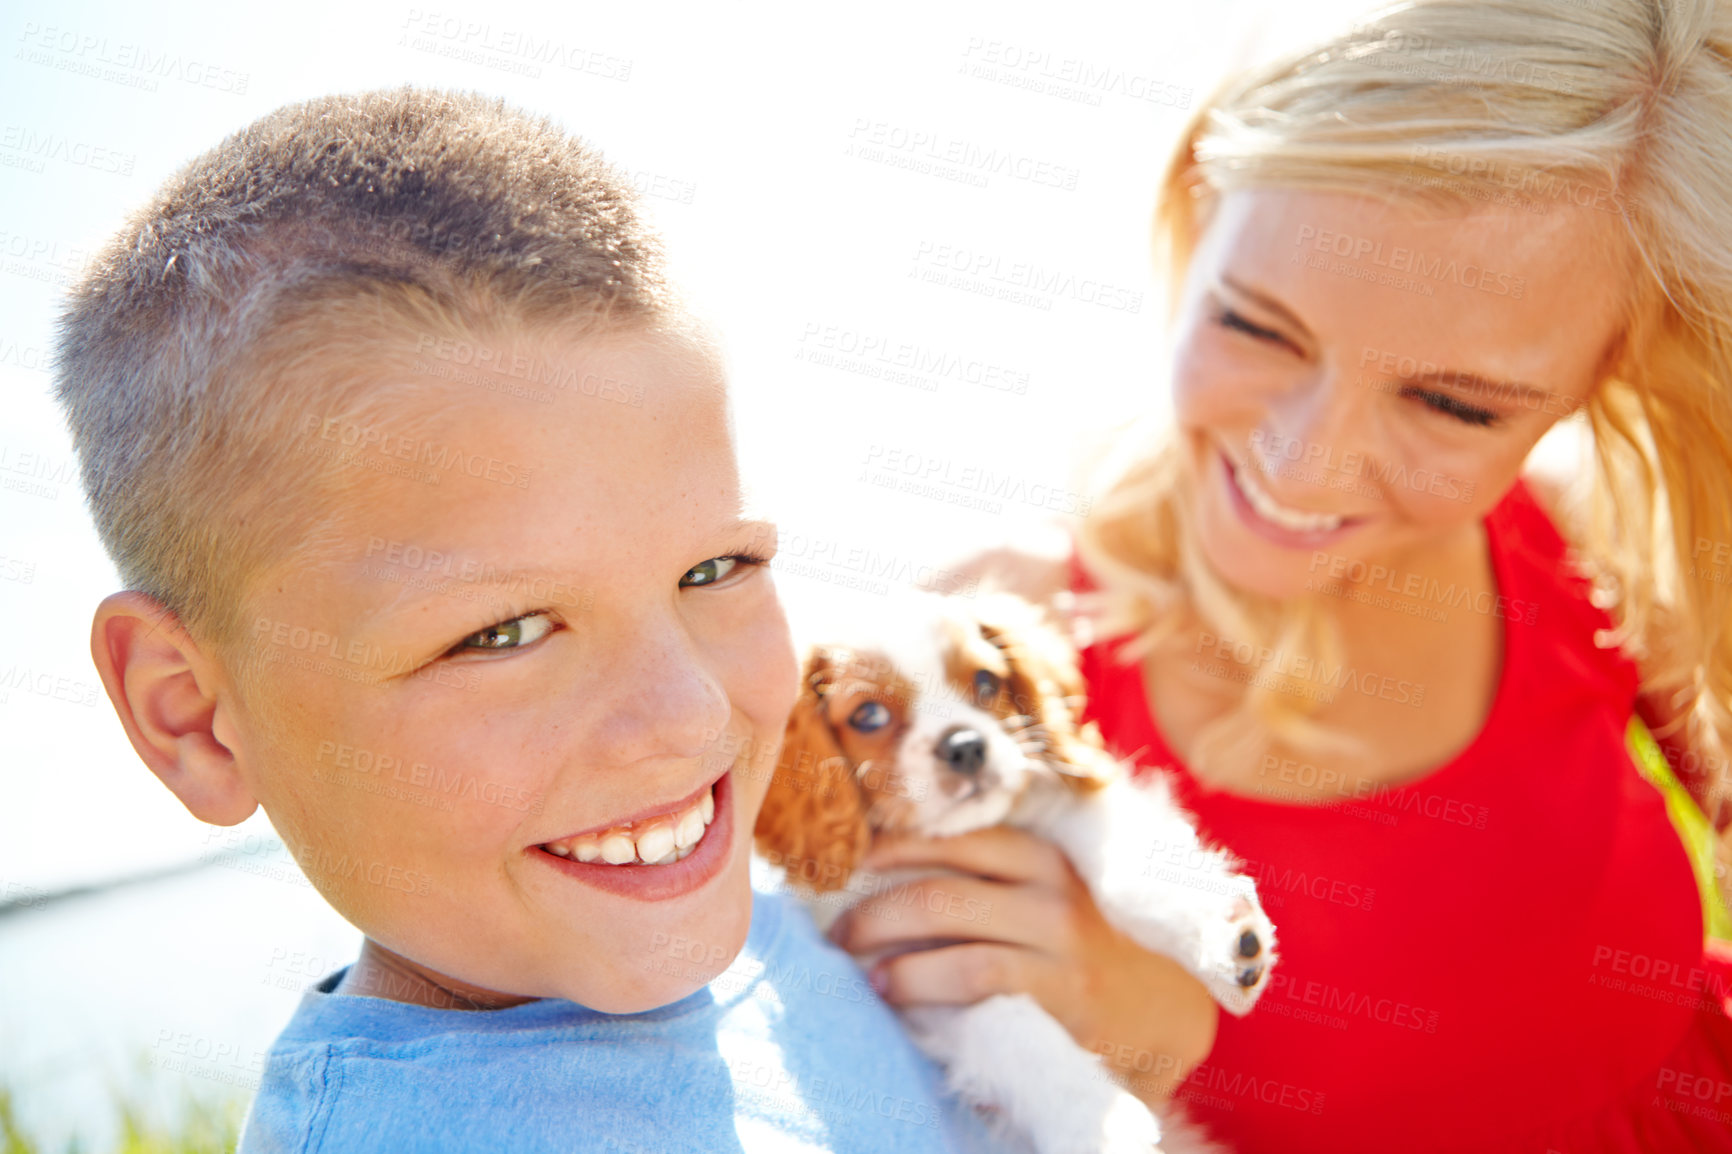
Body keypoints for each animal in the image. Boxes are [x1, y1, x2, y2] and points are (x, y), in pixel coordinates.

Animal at [755, 592, 1274, 1150]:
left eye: (987, 682)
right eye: (868, 715)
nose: (965, 745)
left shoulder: (1056, 799)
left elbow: (1121, 862)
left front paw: (1218, 934)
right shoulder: (905, 975)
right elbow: (998, 1019)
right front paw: (1094, 1119)